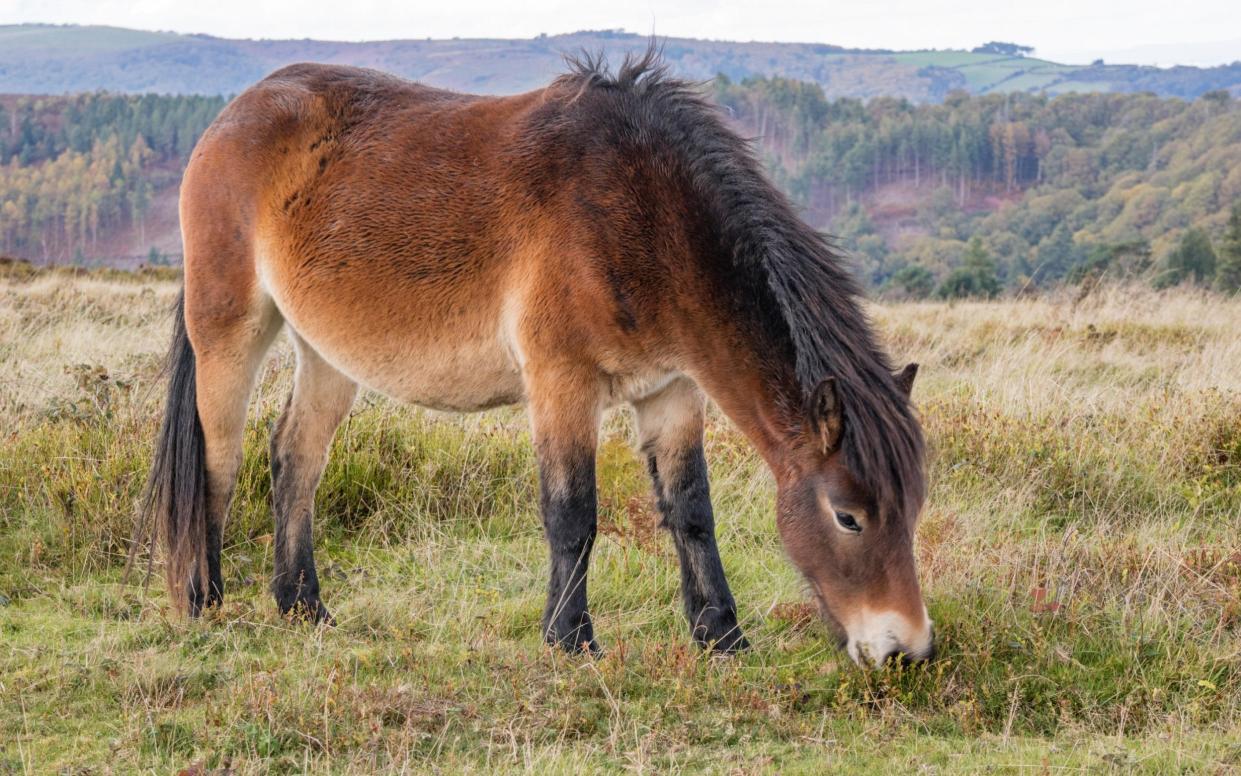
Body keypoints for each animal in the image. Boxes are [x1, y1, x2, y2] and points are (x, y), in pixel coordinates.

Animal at [145, 49, 933, 665]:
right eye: (848, 517)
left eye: (912, 508)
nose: (906, 650)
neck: (639, 211)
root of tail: (232, 116)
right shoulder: (562, 382)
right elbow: (572, 514)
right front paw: (570, 637)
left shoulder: (672, 390)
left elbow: (690, 511)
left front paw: (721, 636)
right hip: (230, 329)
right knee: (219, 462)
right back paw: (205, 601)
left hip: (327, 353)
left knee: (295, 459)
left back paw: (303, 606)